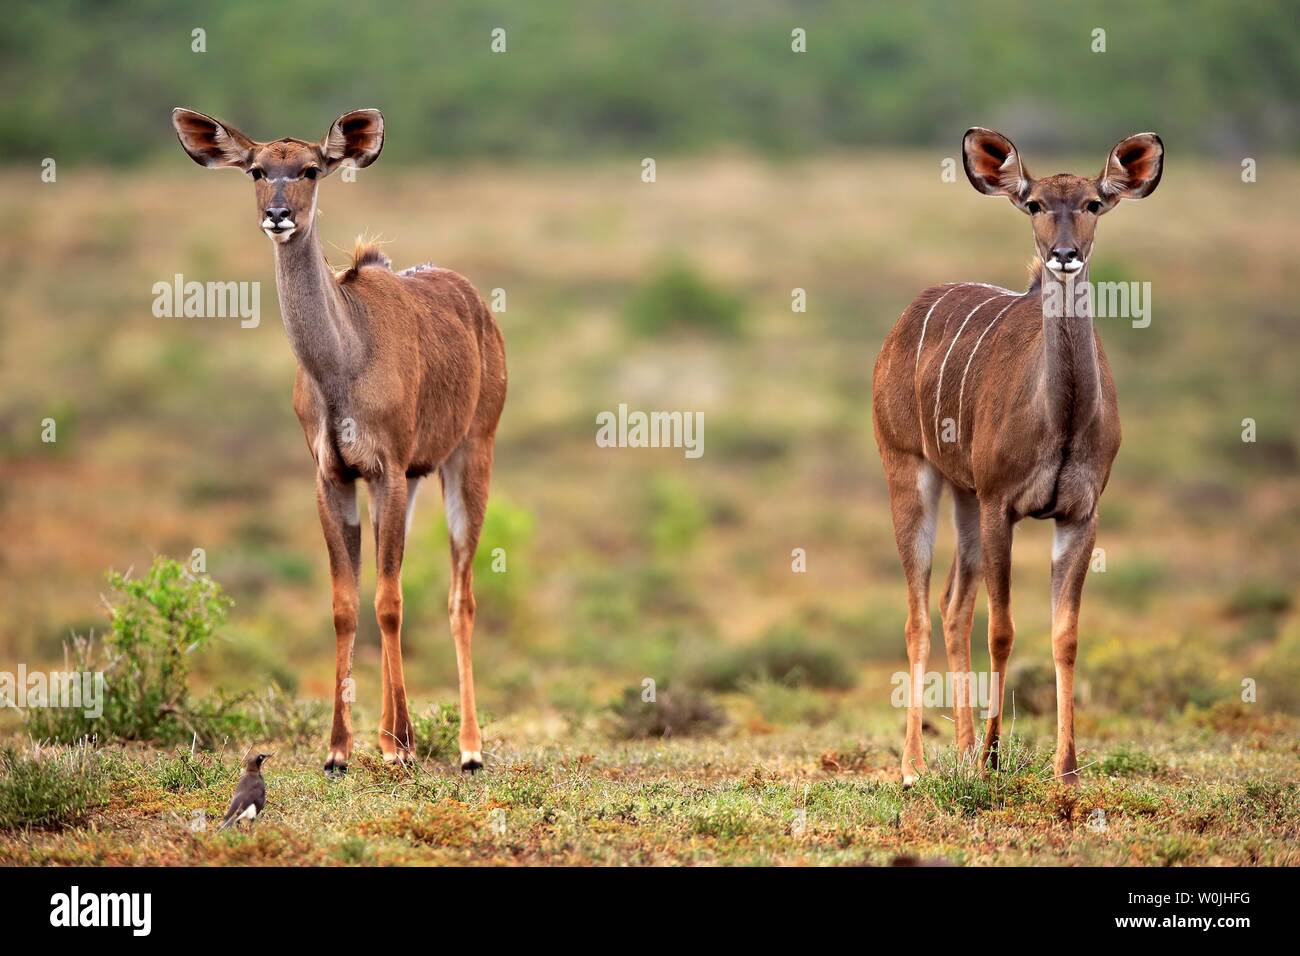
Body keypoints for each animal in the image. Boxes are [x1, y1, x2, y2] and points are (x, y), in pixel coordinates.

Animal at [175, 108, 509, 775]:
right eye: (256, 170)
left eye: (309, 169)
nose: (278, 215)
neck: (343, 359)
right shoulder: (334, 476)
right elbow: (345, 603)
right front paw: (339, 749)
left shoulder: (387, 467)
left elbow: (389, 601)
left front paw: (399, 744)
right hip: (414, 479)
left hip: (469, 454)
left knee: (459, 597)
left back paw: (467, 749)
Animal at [878, 127, 1164, 785]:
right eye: (1034, 204)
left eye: (1092, 202)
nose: (1064, 254)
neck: (1060, 421)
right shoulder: (1001, 504)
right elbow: (1004, 630)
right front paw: (992, 756)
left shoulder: (1080, 514)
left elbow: (1065, 635)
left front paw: (1066, 768)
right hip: (911, 470)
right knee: (919, 613)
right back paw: (915, 766)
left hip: (963, 493)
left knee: (953, 605)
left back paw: (958, 753)